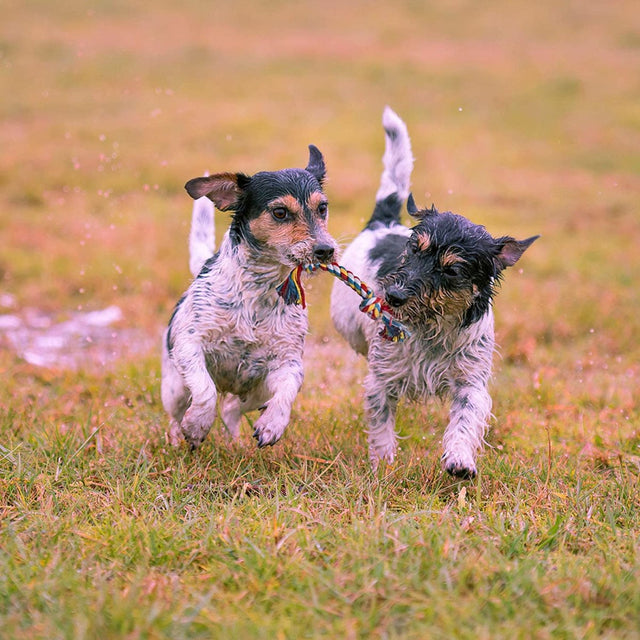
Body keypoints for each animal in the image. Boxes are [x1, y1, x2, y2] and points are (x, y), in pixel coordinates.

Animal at [162, 146, 338, 450]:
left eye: (322, 208)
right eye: (280, 212)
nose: (326, 250)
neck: (259, 292)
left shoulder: (287, 362)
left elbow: (288, 390)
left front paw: (272, 424)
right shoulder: (189, 345)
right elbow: (205, 390)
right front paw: (196, 426)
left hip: (254, 393)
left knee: (231, 409)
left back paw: (235, 441)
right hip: (174, 388)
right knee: (178, 414)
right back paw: (177, 438)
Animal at [332, 107, 536, 478]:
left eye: (451, 270)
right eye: (414, 249)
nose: (393, 297)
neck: (431, 329)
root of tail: (384, 223)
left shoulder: (471, 383)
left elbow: (466, 420)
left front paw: (459, 460)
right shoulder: (381, 379)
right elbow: (381, 423)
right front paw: (383, 466)